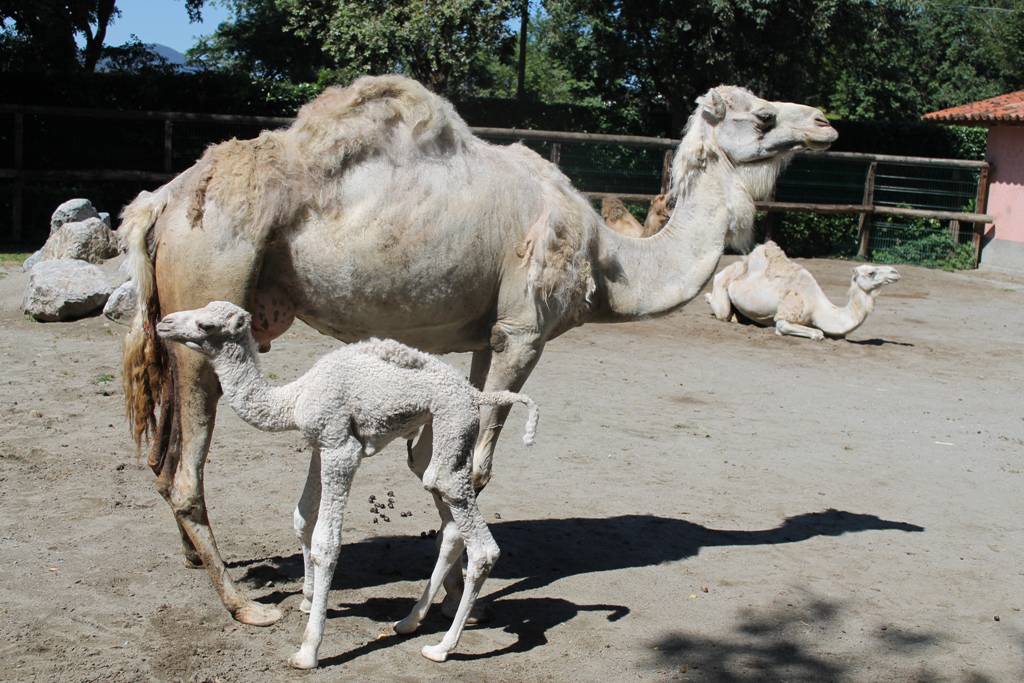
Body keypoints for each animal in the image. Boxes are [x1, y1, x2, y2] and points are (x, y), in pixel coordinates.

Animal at [121, 73, 839, 626]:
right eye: (764, 114)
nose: (827, 122)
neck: (608, 261)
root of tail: (159, 203)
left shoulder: (480, 337)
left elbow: (438, 459)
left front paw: (437, 596)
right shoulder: (523, 330)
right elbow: (478, 467)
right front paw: (454, 601)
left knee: (162, 457)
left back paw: (204, 560)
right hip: (205, 306)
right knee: (184, 472)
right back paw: (244, 606)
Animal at [155, 301, 540, 671]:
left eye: (206, 324)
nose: (164, 323)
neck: (294, 398)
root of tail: (475, 395)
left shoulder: (340, 448)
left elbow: (326, 542)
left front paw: (308, 650)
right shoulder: (318, 444)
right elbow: (302, 518)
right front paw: (308, 599)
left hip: (453, 422)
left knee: (482, 547)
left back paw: (441, 648)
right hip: (437, 436)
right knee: (449, 524)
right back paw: (408, 622)